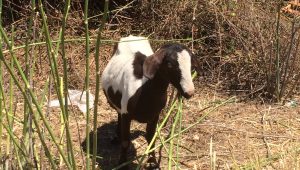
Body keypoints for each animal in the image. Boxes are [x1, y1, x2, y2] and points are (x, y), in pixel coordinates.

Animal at [101, 35, 195, 169]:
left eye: (191, 64)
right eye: (169, 64)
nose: (189, 92)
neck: (145, 90)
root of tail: (131, 36)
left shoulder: (155, 114)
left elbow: (151, 138)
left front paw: (152, 162)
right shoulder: (126, 114)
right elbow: (125, 141)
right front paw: (122, 163)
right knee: (118, 113)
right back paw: (116, 137)